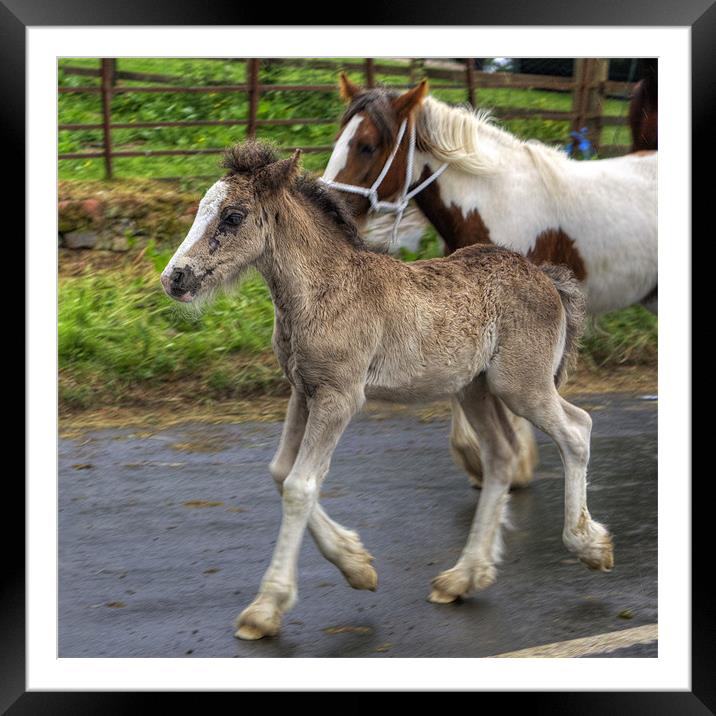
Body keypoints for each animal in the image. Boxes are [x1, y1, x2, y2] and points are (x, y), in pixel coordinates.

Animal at [159, 143, 612, 640]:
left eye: (233, 216)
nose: (175, 277)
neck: (321, 291)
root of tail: (548, 279)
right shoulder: (303, 389)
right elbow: (280, 472)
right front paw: (356, 563)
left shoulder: (339, 395)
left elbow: (300, 484)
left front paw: (267, 607)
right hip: (474, 389)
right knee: (502, 456)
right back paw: (463, 577)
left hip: (521, 385)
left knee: (577, 429)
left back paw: (588, 545)